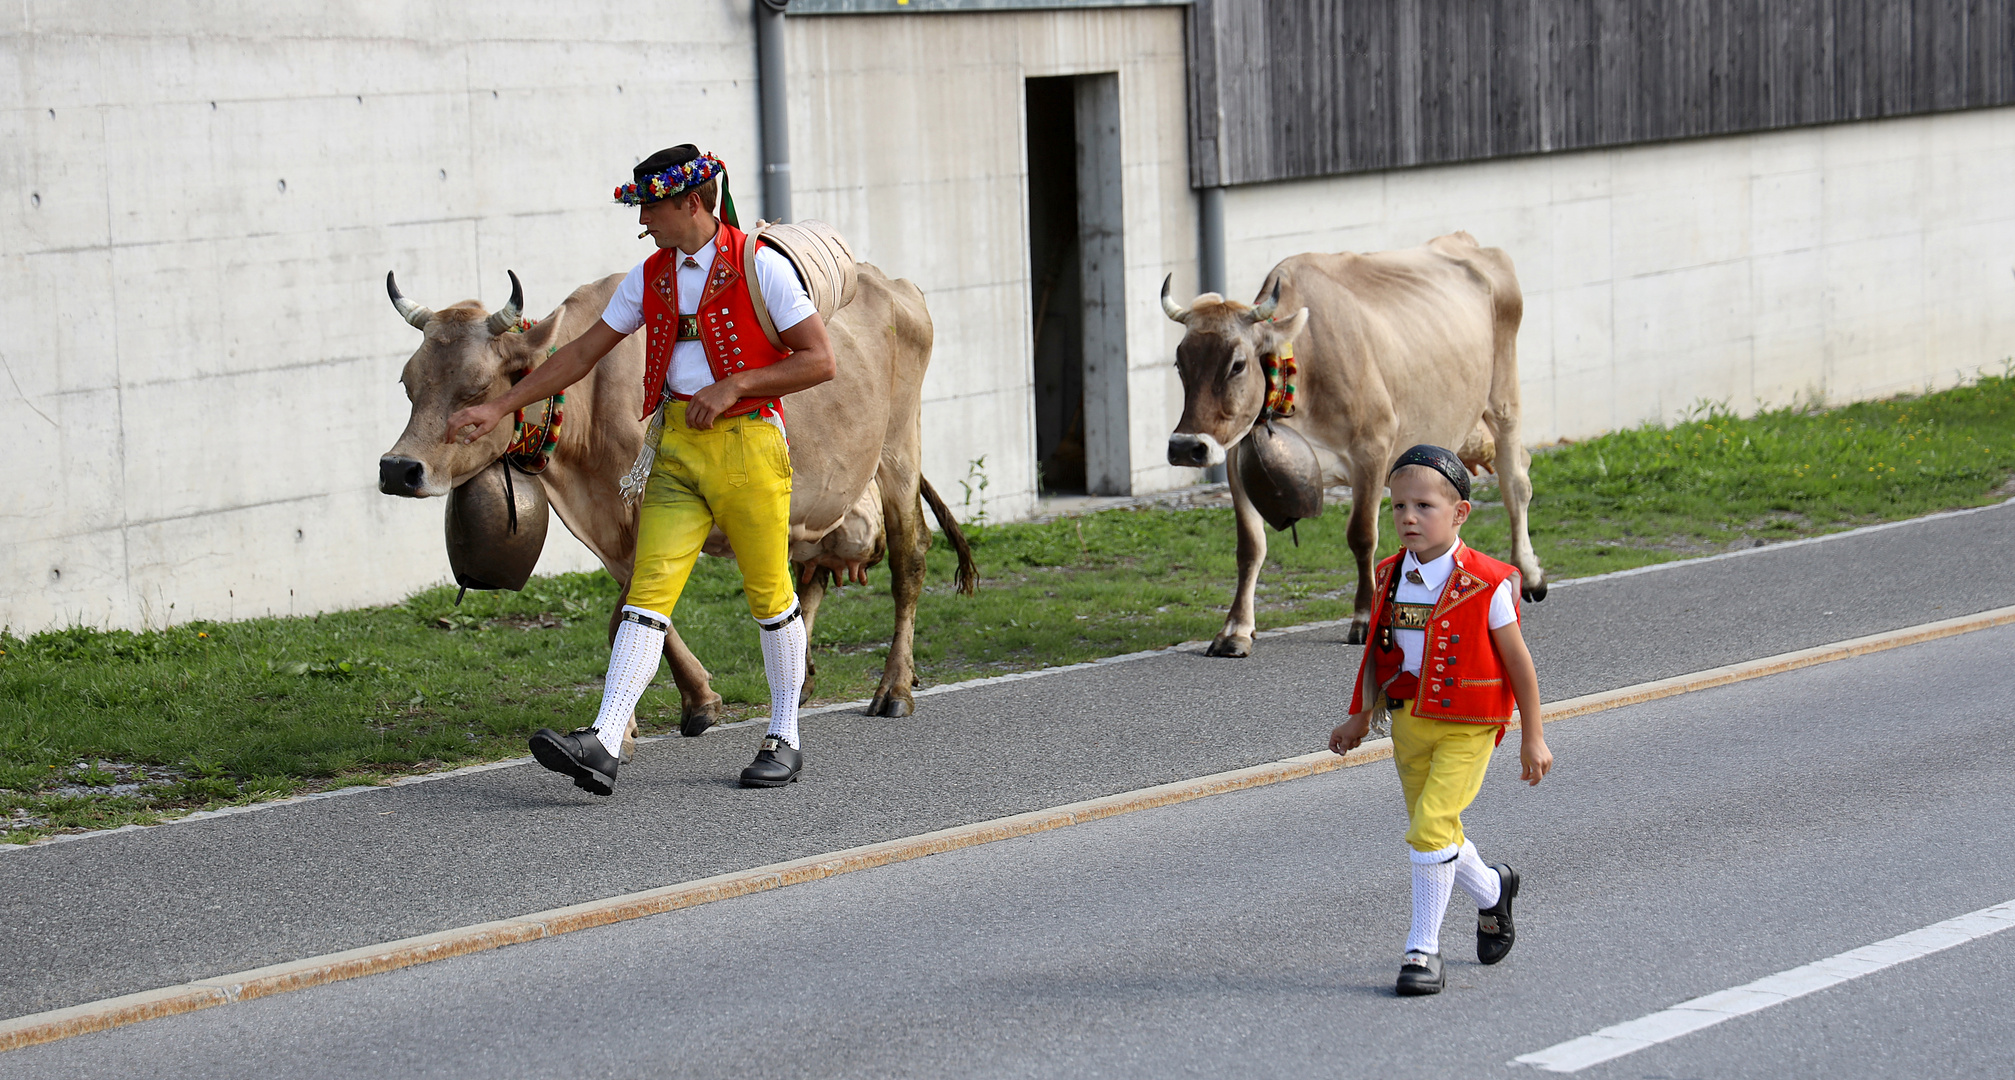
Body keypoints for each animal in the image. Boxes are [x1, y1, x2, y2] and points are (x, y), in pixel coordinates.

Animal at [380, 263, 979, 729]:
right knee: (805, 578)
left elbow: (628, 612)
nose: (398, 468)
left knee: (908, 560)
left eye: (478, 387)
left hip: (898, 447)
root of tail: (894, 283)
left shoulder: (646, 508)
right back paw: (800, 681)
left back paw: (894, 689)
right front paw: (696, 701)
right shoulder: (612, 528)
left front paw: (642, 723)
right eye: (408, 382)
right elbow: (641, 608)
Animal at [1160, 228, 1547, 652]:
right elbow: (1250, 547)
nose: (1185, 447)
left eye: (1237, 364)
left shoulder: (1373, 448)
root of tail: (1462, 240)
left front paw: (1363, 618)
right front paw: (1235, 629)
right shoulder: (1236, 462)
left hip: (1503, 397)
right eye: (1180, 362)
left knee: (1516, 483)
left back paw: (1529, 574)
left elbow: (1362, 535)